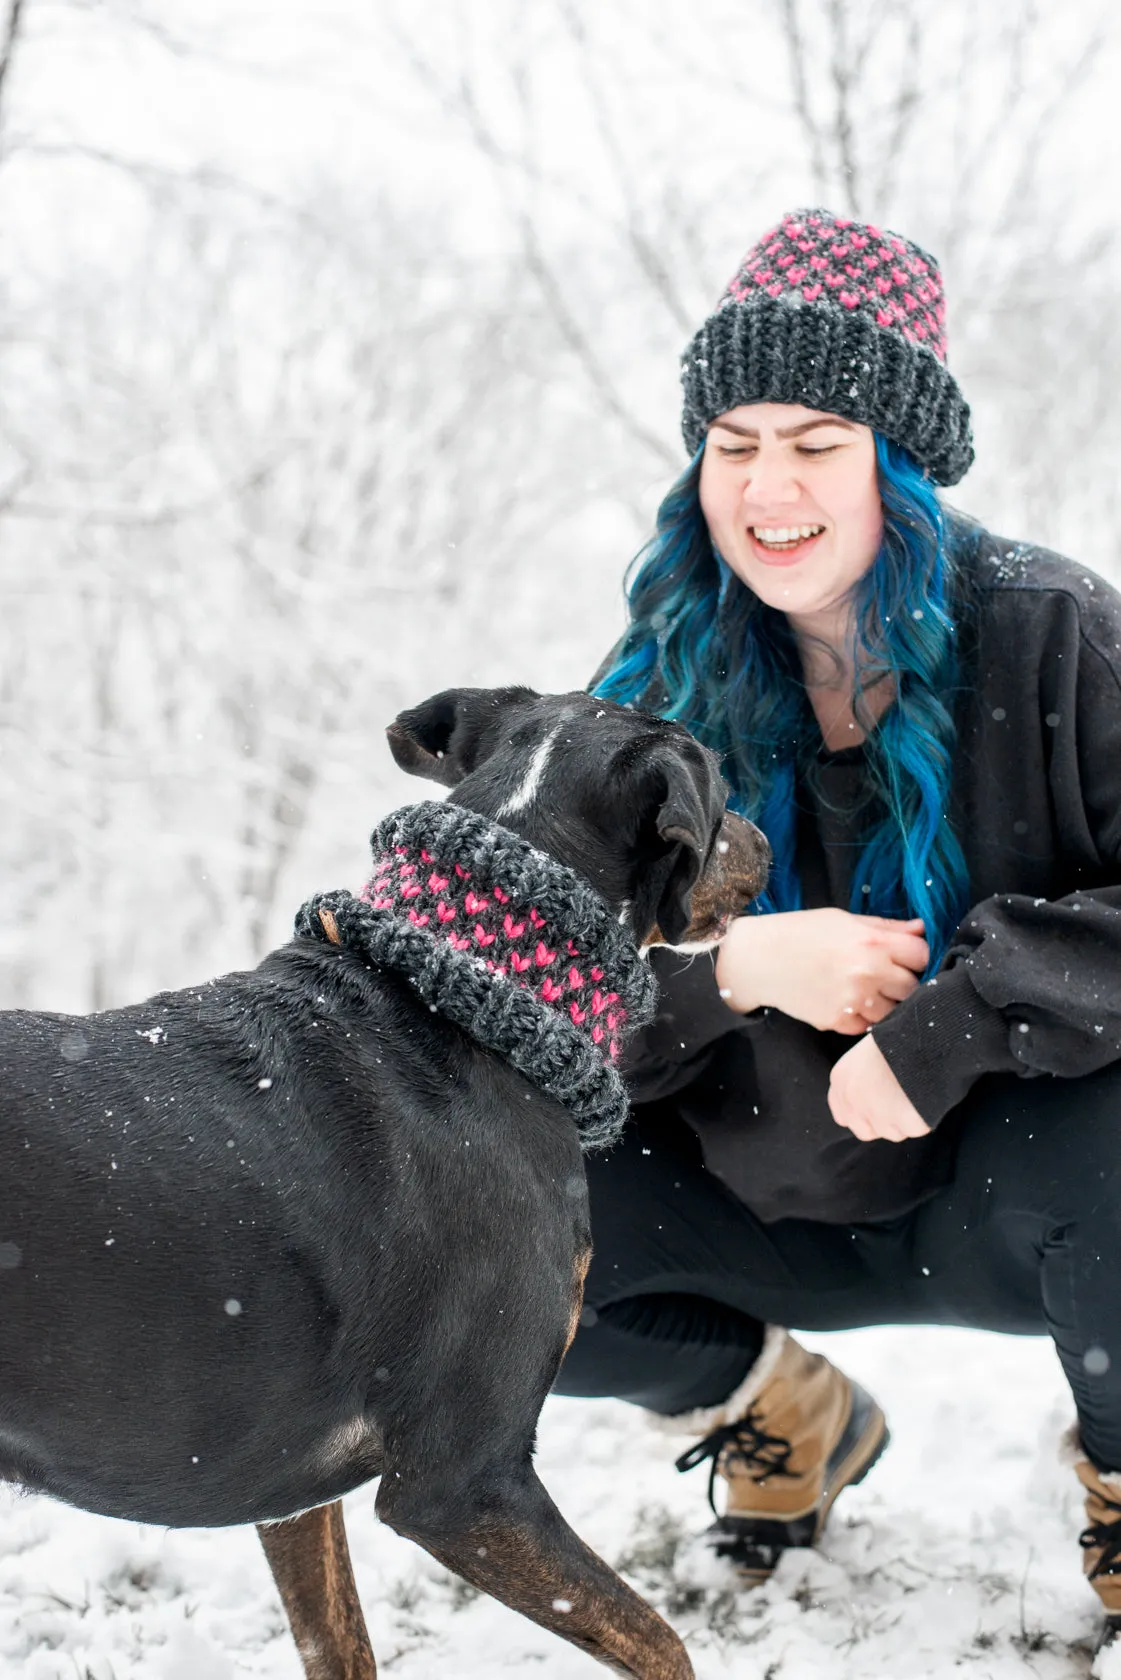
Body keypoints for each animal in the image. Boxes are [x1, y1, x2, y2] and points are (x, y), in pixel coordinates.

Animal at [0, 685, 773, 1680]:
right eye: (717, 787)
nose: (764, 840)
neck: (475, 988)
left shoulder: (291, 1494)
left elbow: (341, 1644)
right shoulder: (465, 1484)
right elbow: (659, 1641)